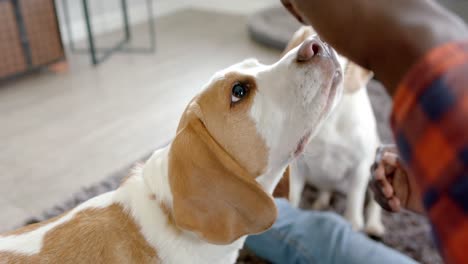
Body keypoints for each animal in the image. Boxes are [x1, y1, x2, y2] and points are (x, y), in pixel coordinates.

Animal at [288, 26, 386, 237]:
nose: (311, 46)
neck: (329, 115)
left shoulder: (360, 166)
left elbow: (355, 200)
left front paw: (353, 224)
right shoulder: (297, 165)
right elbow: (293, 195)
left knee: (373, 205)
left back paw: (374, 226)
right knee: (326, 190)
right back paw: (321, 202)